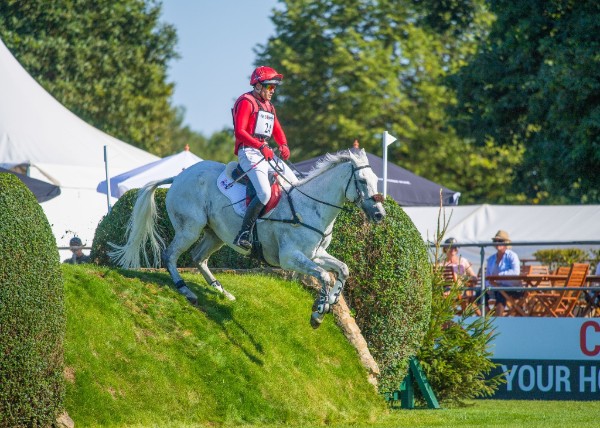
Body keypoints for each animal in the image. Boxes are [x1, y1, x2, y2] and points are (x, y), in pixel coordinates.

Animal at [110, 149, 386, 326]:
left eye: (376, 180)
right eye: (362, 181)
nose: (380, 214)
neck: (310, 206)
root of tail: (179, 176)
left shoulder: (315, 254)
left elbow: (342, 269)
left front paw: (331, 301)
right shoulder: (290, 257)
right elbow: (325, 276)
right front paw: (319, 311)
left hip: (216, 234)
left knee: (199, 258)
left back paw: (223, 292)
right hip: (190, 228)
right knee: (171, 256)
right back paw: (186, 290)